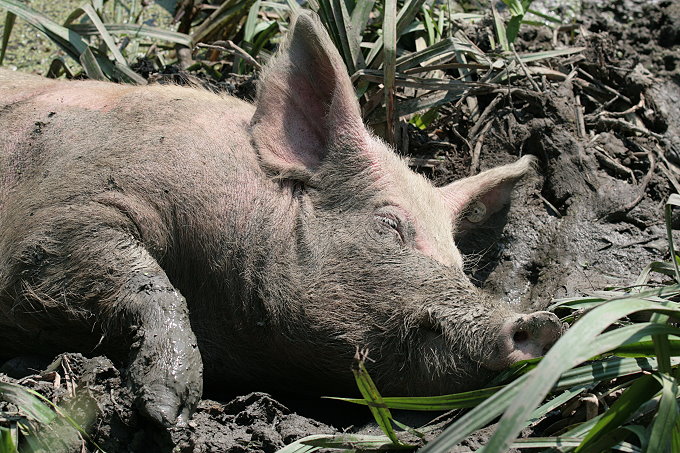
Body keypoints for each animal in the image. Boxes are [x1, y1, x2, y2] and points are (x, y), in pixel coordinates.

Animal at [0, 12, 564, 426]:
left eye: (459, 265)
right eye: (390, 225)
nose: (542, 323)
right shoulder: (63, 216)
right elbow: (140, 279)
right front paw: (168, 412)